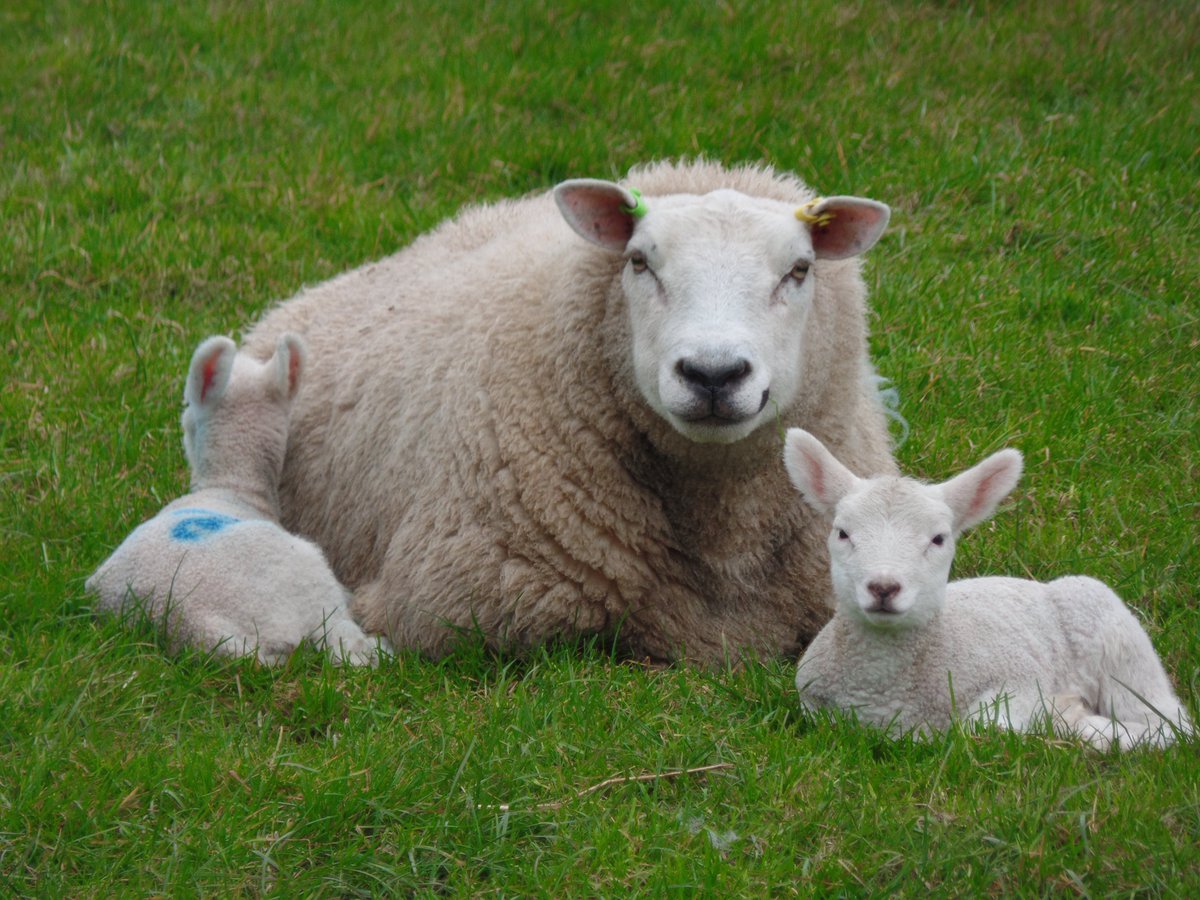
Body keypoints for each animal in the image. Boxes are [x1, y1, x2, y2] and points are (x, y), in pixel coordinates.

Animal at [783, 427, 1194, 750]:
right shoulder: (811, 703)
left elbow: (985, 727)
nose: (883, 587)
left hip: (1119, 646)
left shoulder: (1017, 681)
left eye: (939, 539)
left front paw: (1064, 716)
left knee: (1169, 723)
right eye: (842, 533)